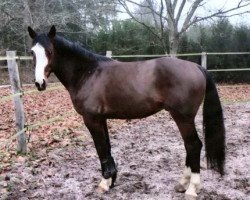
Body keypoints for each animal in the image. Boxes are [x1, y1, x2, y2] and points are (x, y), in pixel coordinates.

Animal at [28, 25, 226, 198]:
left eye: (50, 51)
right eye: (32, 52)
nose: (39, 83)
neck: (87, 72)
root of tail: (197, 67)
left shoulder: (91, 119)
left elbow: (101, 150)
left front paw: (104, 184)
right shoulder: (101, 119)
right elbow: (107, 148)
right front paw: (111, 180)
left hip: (183, 118)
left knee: (193, 145)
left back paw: (192, 189)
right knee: (189, 146)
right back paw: (182, 183)